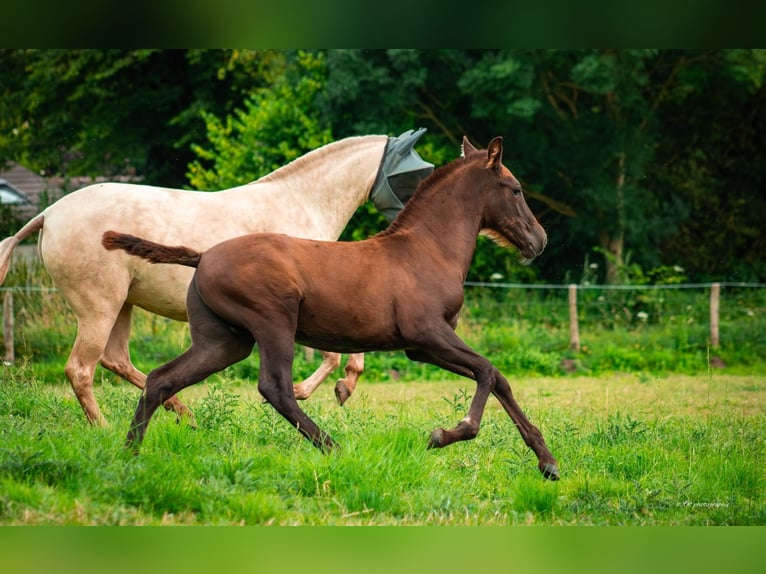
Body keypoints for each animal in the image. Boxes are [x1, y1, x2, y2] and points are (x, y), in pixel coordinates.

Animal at [0, 132, 432, 428]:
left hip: (122, 305)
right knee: (81, 369)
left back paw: (183, 414)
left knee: (117, 361)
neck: (301, 203)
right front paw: (309, 392)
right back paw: (106, 428)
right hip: (99, 307)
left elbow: (350, 356)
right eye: (418, 173)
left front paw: (339, 389)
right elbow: (333, 356)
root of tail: (49, 214)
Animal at [102, 138, 560, 482]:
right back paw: (336, 449)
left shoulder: (422, 347)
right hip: (273, 323)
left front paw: (548, 462)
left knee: (162, 379)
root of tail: (202, 256)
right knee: (275, 388)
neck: (427, 249)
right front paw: (447, 433)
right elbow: (487, 371)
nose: (539, 241)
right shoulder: (427, 334)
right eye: (516, 189)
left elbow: (498, 377)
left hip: (223, 341)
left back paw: (128, 454)